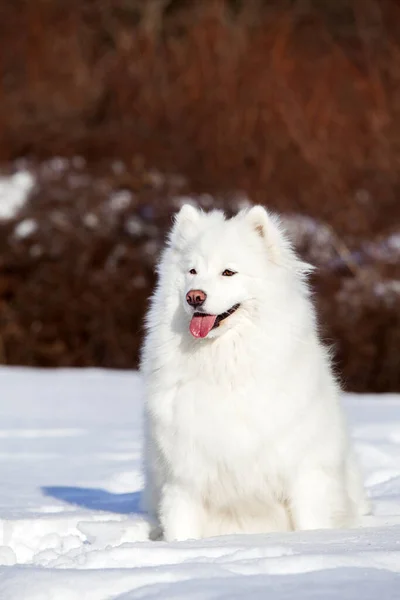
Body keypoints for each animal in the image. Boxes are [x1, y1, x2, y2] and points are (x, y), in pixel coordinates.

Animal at [140, 204, 368, 540]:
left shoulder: (305, 473)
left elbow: (311, 523)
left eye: (228, 272)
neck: (225, 368)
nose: (194, 297)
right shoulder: (183, 477)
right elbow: (181, 529)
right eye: (192, 271)